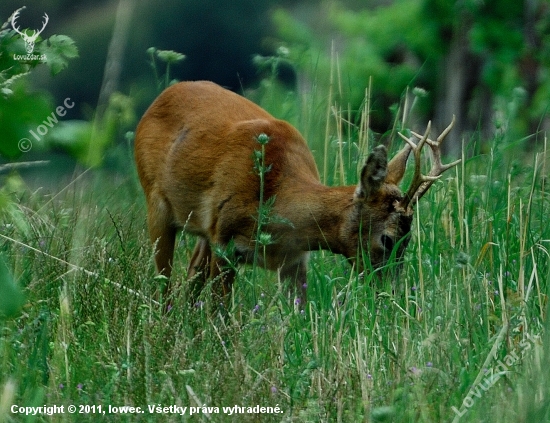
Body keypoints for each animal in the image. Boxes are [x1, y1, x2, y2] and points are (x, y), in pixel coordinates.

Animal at [135, 80, 462, 304]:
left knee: (190, 278)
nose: (390, 293)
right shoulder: (225, 243)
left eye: (409, 240)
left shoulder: (294, 259)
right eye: (388, 238)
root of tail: (160, 97)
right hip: (157, 203)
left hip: (205, 230)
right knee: (164, 282)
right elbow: (219, 312)